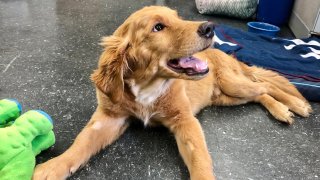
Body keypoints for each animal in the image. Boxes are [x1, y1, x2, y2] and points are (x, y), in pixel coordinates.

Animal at [33, 5, 312, 180]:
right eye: (158, 27)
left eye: (177, 18)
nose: (210, 28)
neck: (148, 85)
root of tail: (226, 54)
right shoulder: (109, 118)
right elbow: (79, 146)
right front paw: (49, 169)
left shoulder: (185, 120)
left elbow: (200, 160)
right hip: (227, 97)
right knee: (260, 94)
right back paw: (282, 110)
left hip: (233, 83)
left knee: (266, 85)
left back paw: (296, 105)